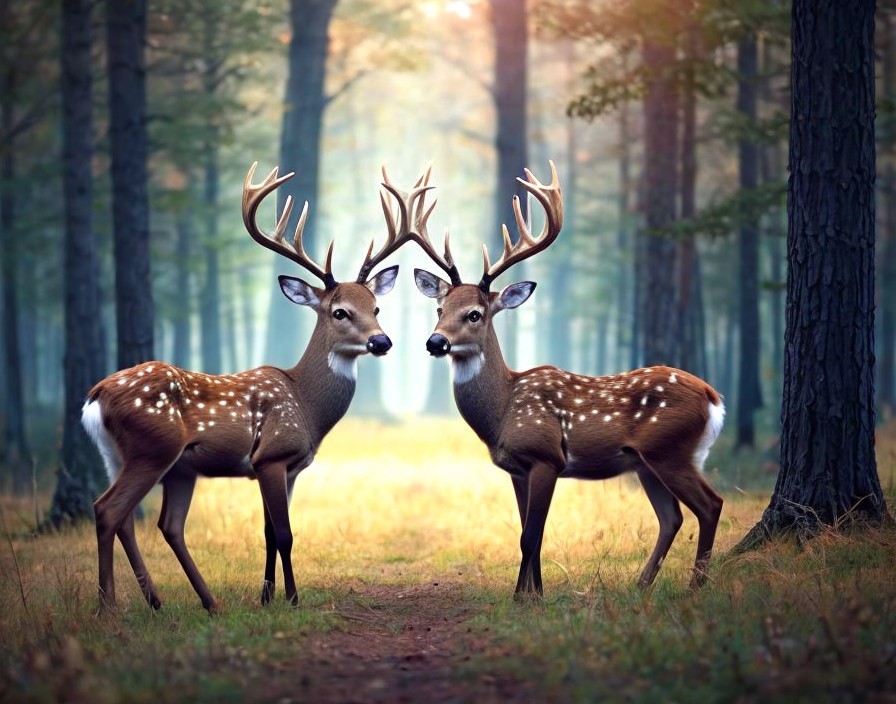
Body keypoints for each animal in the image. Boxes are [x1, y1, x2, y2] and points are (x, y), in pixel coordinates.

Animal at [82, 161, 419, 614]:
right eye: (339, 312)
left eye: (376, 307)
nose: (381, 342)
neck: (306, 406)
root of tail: (95, 397)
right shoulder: (273, 455)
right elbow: (286, 534)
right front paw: (291, 599)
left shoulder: (282, 467)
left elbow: (268, 533)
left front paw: (266, 597)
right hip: (152, 448)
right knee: (109, 510)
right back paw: (110, 607)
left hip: (149, 462)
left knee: (156, 524)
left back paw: (185, 602)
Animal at [407, 162, 726, 597]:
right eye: (440, 308)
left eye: (475, 313)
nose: (435, 341)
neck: (502, 411)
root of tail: (714, 398)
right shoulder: (517, 468)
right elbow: (528, 533)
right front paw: (531, 593)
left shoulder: (546, 457)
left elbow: (531, 535)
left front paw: (526, 599)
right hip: (647, 461)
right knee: (671, 517)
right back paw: (641, 585)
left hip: (671, 450)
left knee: (710, 506)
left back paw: (695, 587)